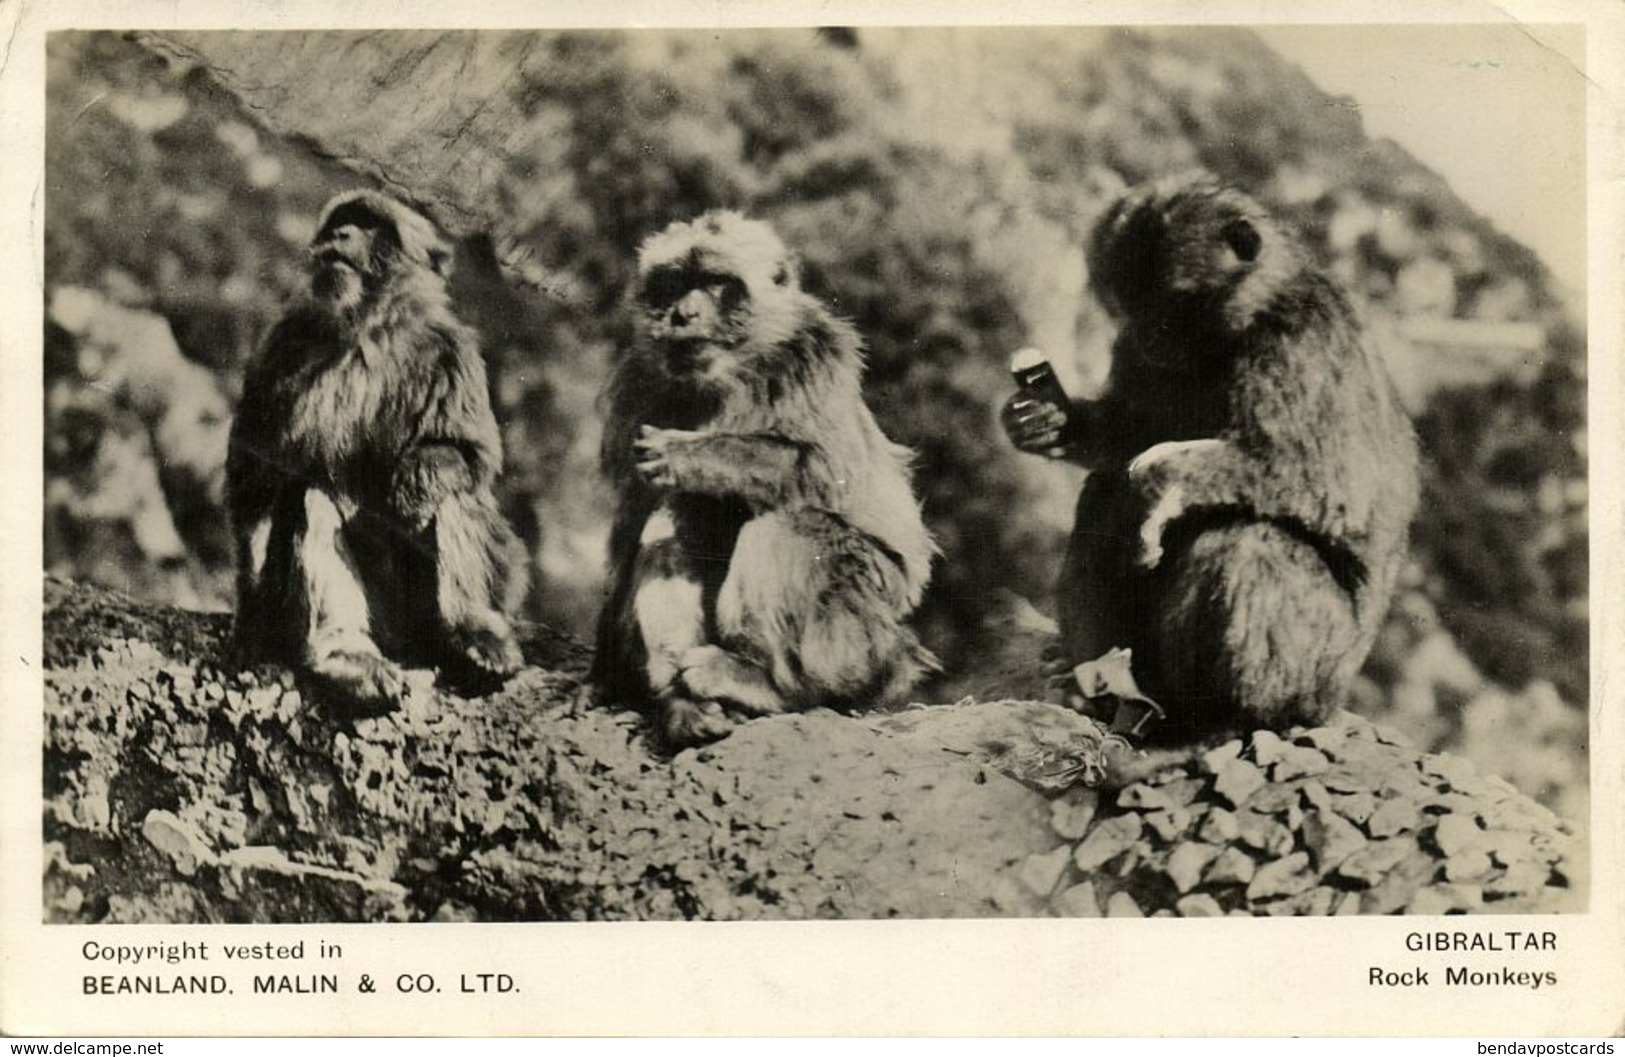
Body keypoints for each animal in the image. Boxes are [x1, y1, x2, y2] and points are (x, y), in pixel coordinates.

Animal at [224, 189, 520, 709]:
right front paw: (252, 625)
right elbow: (255, 484)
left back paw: (472, 630)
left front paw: (415, 482)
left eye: (370, 225)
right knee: (311, 498)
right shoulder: (281, 347)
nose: (342, 235)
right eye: (341, 223)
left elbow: (468, 454)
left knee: (454, 490)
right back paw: (349, 655)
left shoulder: (451, 351)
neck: (368, 328)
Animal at [594, 209, 942, 744]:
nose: (683, 314)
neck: (732, 371)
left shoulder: (815, 354)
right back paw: (683, 698)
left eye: (716, 284)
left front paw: (690, 455)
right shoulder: (640, 386)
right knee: (680, 512)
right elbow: (635, 522)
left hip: (869, 632)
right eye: (675, 284)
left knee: (789, 524)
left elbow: (824, 471)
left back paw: (769, 683)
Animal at [1001, 174, 1423, 741]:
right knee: (1104, 494)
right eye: (1131, 305)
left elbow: (1321, 480)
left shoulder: (1298, 342)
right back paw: (1106, 689)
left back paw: (1224, 719)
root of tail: (1331, 702)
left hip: (1316, 673)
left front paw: (1156, 479)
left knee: (1244, 544)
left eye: (1173, 304)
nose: (1150, 337)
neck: (1241, 322)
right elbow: (1131, 432)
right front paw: (1045, 417)